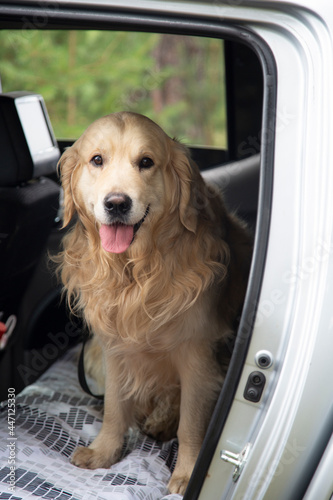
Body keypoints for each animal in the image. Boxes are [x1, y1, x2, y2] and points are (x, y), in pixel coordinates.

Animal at [55, 111, 252, 494]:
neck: (136, 271)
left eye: (146, 162)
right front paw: (104, 452)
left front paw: (187, 473)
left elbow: (191, 423)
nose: (117, 203)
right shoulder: (114, 347)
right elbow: (115, 407)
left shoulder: (197, 353)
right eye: (97, 160)